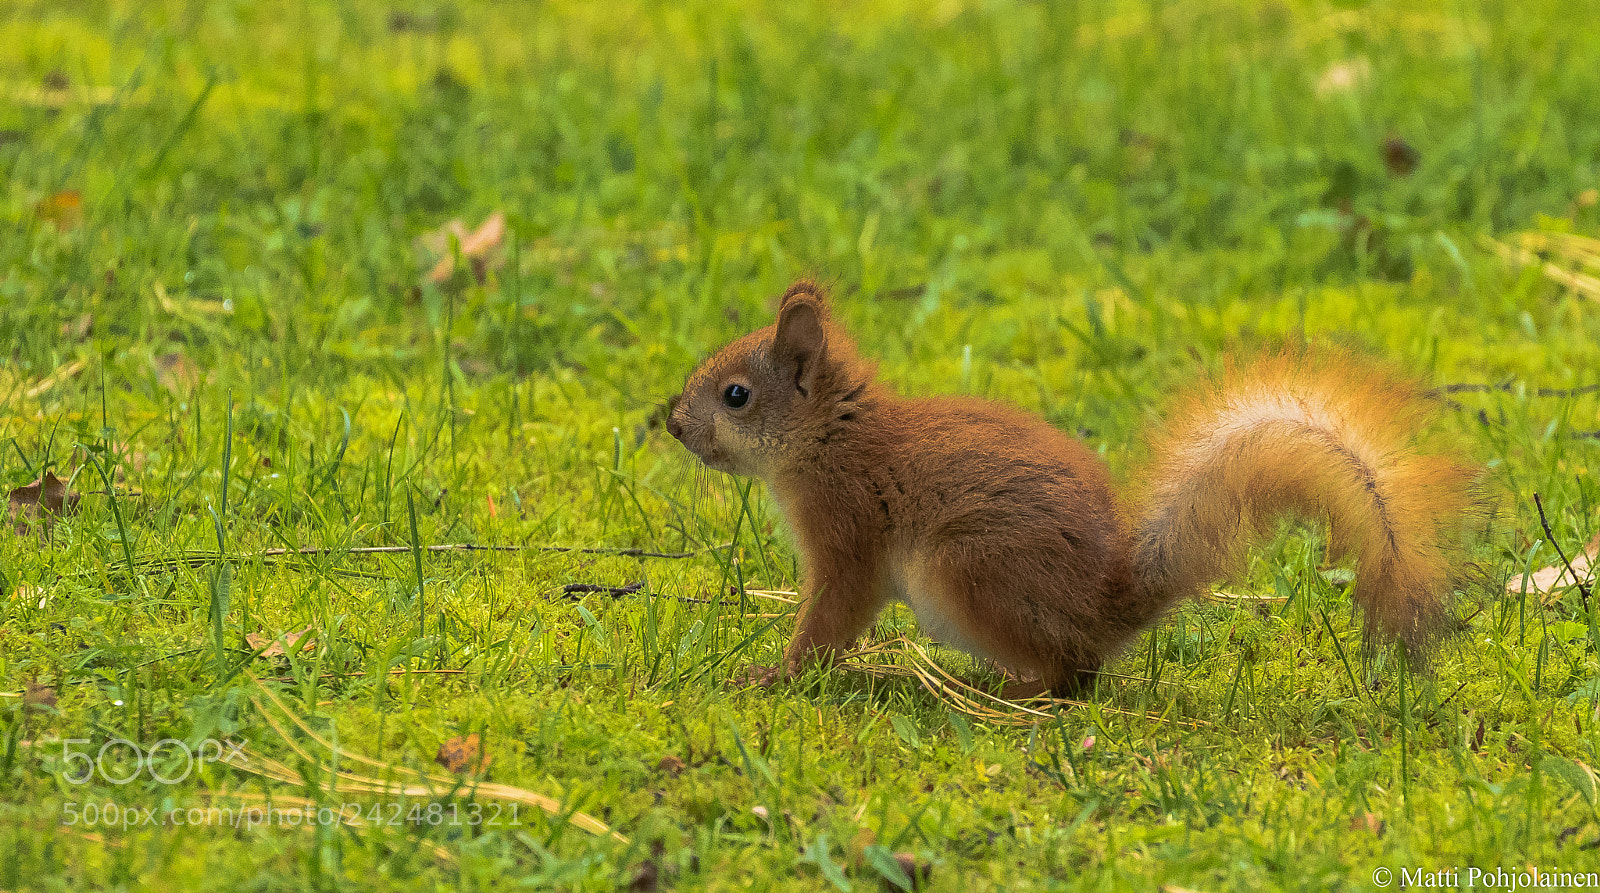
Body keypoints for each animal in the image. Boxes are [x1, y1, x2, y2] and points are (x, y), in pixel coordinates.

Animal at [666, 280, 1473, 695]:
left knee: (1071, 673)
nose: (671, 423)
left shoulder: (848, 530)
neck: (831, 439)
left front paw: (777, 673)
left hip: (968, 571)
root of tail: (1106, 607)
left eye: (735, 395)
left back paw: (1011, 688)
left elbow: (831, 616)